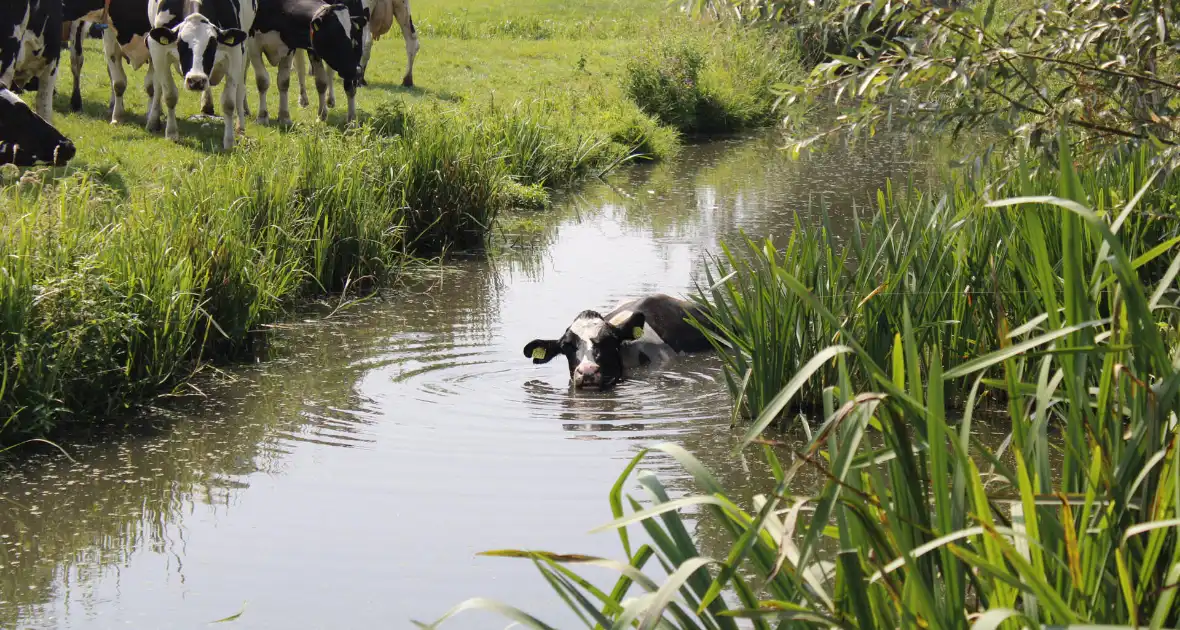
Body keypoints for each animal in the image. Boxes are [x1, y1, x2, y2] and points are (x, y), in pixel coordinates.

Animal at [146, 0, 256, 149]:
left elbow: (229, 102)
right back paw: (153, 121)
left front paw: (229, 141)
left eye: (212, 44)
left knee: (240, 91)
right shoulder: (158, 49)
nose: (196, 80)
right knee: (158, 88)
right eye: (180, 43)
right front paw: (171, 134)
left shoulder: (235, 51)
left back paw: (240, 128)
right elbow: (169, 95)